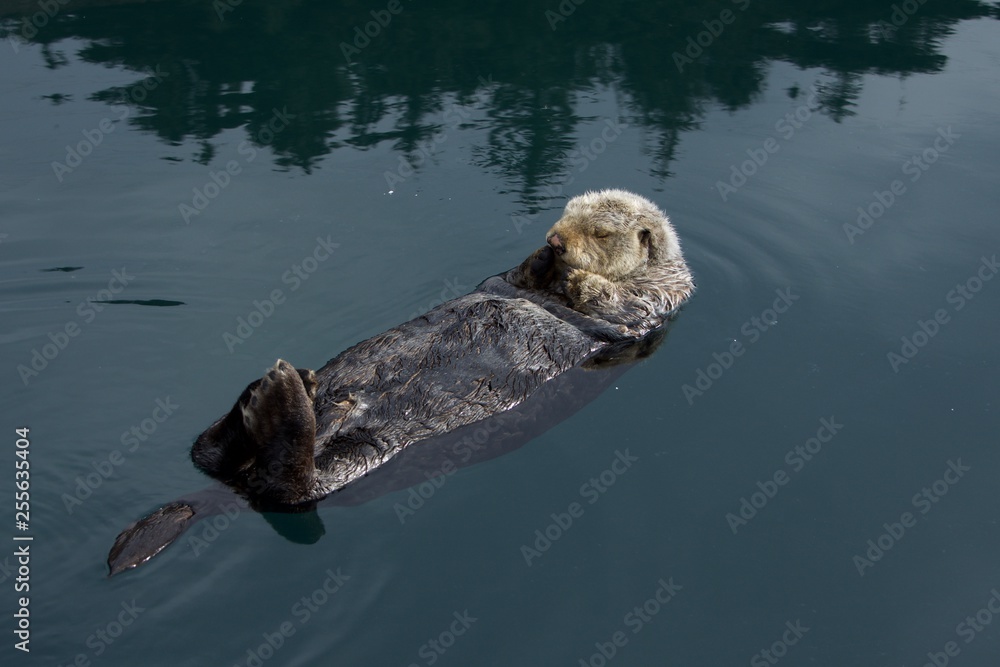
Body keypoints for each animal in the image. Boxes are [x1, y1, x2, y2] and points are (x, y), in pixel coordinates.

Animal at [107, 189, 694, 575]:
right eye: (564, 215)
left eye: (599, 232)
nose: (556, 239)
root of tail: (233, 486)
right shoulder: (517, 279)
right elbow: (516, 275)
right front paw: (542, 256)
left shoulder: (651, 305)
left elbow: (611, 301)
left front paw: (578, 275)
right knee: (208, 453)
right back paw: (268, 396)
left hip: (358, 457)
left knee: (289, 492)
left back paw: (278, 400)